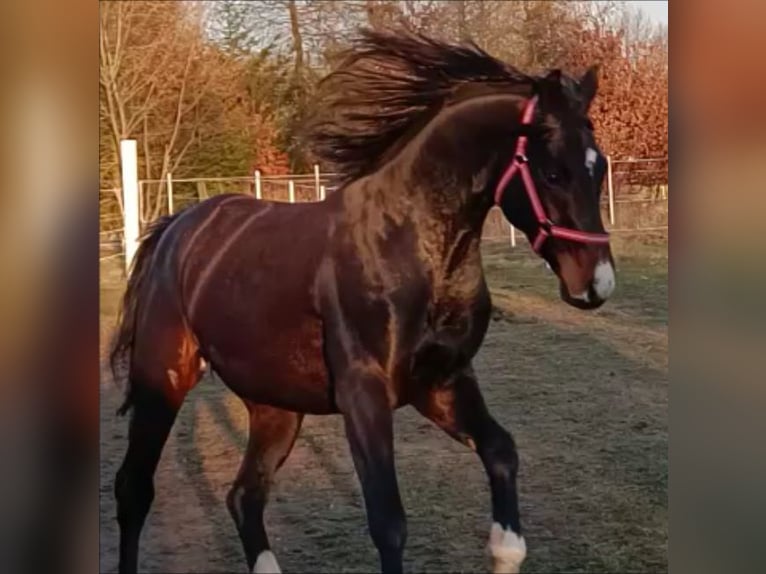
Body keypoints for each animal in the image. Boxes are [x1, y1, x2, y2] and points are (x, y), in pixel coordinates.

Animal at [110, 28, 615, 574]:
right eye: (553, 173)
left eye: (600, 167)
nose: (598, 284)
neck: (407, 244)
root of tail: (178, 227)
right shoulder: (364, 395)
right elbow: (388, 522)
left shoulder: (442, 382)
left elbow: (502, 454)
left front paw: (504, 550)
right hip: (163, 381)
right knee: (134, 490)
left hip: (275, 407)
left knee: (244, 496)